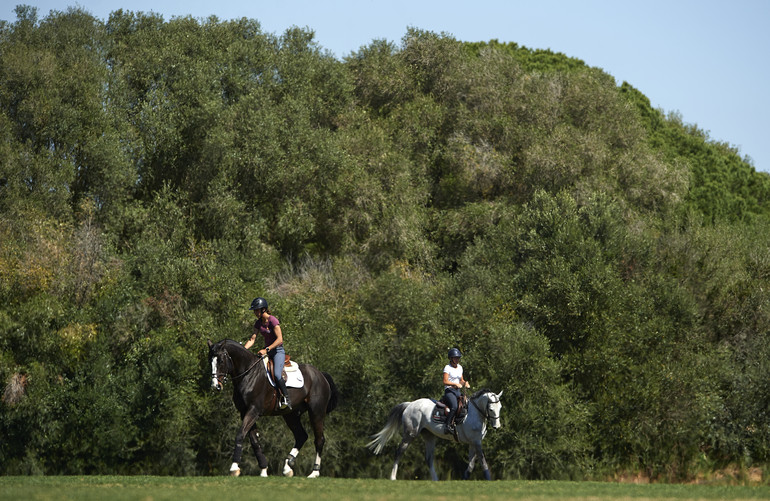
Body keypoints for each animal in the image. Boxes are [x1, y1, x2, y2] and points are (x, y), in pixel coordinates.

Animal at [207, 340, 336, 476]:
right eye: (210, 360)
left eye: (221, 360)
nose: (215, 386)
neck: (248, 374)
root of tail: (321, 375)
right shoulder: (245, 412)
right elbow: (254, 441)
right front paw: (263, 469)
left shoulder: (253, 411)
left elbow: (240, 434)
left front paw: (234, 467)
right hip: (290, 415)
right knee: (301, 436)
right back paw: (288, 466)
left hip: (316, 412)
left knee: (319, 439)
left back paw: (314, 472)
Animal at [368, 388, 500, 478]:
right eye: (491, 409)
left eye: (500, 407)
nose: (497, 426)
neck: (474, 413)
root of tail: (410, 404)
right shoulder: (476, 442)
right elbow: (483, 461)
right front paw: (488, 479)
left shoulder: (473, 442)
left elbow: (471, 464)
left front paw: (465, 478)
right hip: (410, 434)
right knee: (399, 452)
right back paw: (393, 477)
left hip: (429, 436)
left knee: (429, 459)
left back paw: (436, 480)